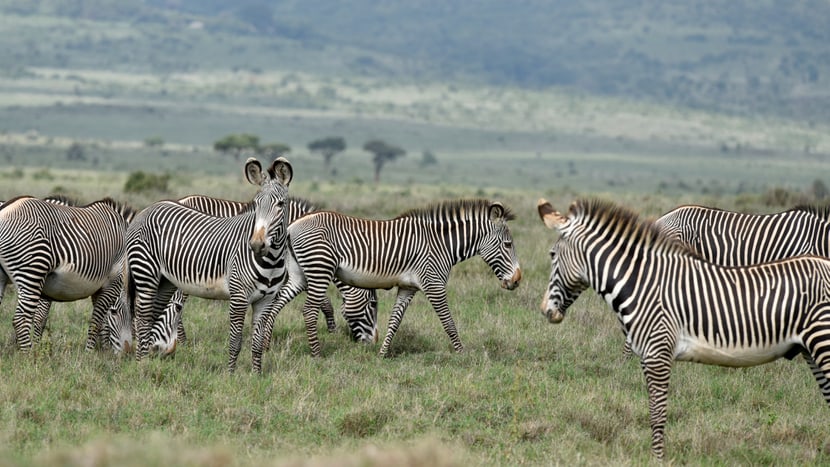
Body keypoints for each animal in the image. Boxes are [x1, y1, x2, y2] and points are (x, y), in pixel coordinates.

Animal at [0, 194, 135, 352]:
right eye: (116, 313)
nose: (127, 351)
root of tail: (6, 208)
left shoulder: (98, 287)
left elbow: (101, 321)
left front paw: (102, 350)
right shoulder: (112, 282)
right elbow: (95, 322)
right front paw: (89, 353)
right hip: (33, 270)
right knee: (21, 319)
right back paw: (30, 355)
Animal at [123, 157, 292, 372]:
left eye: (280, 204)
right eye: (256, 204)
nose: (256, 244)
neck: (272, 259)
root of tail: (146, 209)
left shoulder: (266, 301)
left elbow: (256, 343)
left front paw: (256, 375)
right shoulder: (238, 297)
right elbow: (235, 341)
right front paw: (230, 375)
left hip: (165, 280)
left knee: (154, 312)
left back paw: (151, 362)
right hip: (146, 272)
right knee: (142, 318)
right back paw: (141, 364)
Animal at [252, 199, 528, 374]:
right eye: (507, 244)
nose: (516, 280)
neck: (442, 245)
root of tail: (291, 225)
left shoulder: (408, 287)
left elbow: (395, 321)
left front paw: (382, 354)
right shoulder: (434, 283)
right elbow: (448, 322)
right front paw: (462, 354)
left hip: (300, 274)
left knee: (275, 306)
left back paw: (265, 346)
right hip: (320, 269)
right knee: (309, 311)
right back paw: (317, 355)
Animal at [536, 198, 830, 460]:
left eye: (552, 255)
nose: (545, 310)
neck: (643, 283)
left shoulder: (657, 354)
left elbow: (658, 413)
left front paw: (657, 459)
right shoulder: (648, 355)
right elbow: (654, 409)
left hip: (822, 342)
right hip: (811, 349)